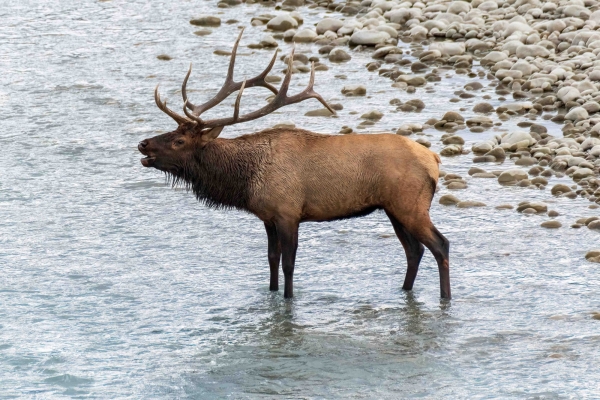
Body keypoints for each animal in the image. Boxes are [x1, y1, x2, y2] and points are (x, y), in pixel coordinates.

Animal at [139, 29, 450, 298]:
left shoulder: (288, 212)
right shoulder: (268, 216)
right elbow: (272, 259)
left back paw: (445, 297)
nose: (143, 144)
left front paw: (288, 301)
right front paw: (272, 294)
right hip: (393, 208)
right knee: (414, 251)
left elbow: (289, 264)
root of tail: (434, 159)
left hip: (410, 204)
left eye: (179, 141)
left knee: (440, 245)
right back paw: (405, 291)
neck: (246, 180)